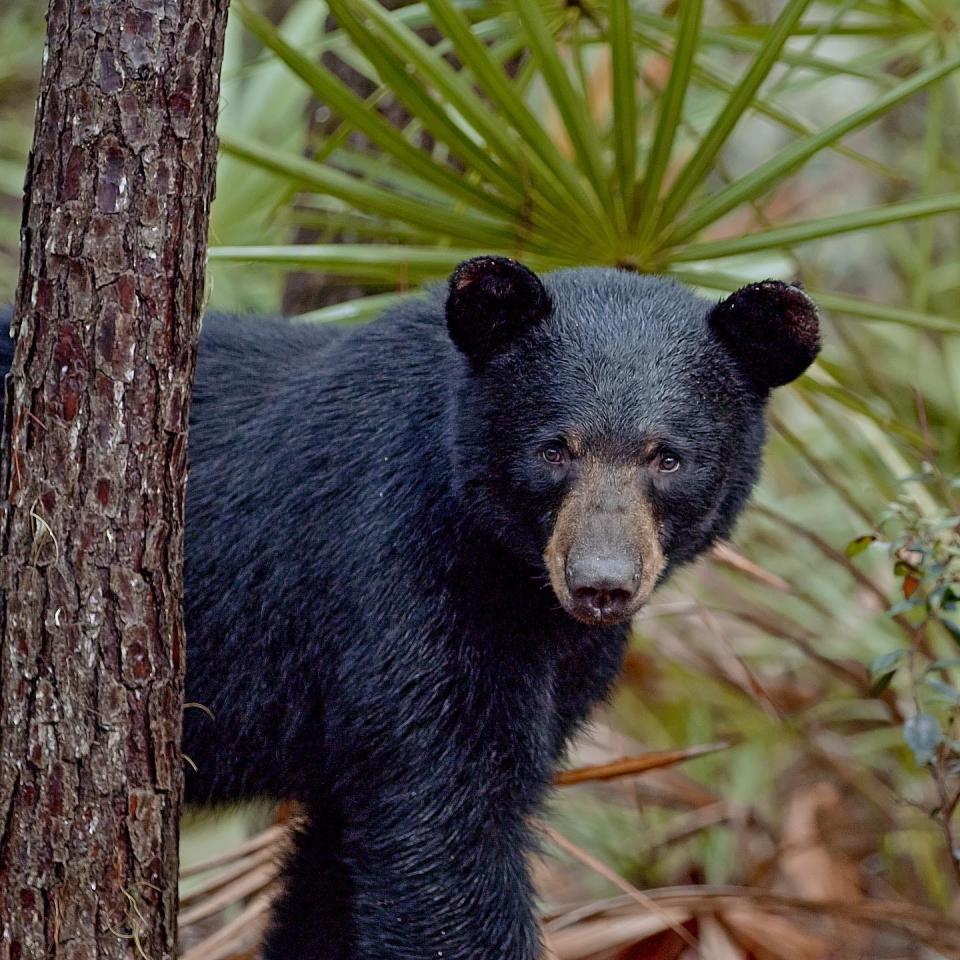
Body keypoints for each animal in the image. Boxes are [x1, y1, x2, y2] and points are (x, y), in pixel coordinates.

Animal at [1, 258, 824, 956]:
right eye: (554, 450)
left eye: (669, 457)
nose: (601, 583)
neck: (517, 579)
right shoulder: (400, 574)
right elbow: (444, 827)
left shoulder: (559, 661)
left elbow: (342, 860)